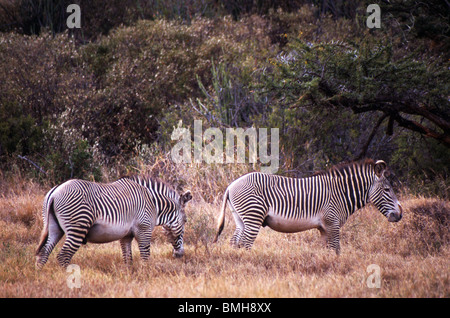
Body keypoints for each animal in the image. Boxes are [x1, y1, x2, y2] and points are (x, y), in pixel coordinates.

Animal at [36, 175, 192, 270]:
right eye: (185, 221)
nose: (179, 255)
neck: (153, 204)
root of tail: (55, 192)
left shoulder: (126, 235)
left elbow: (128, 258)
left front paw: (130, 276)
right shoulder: (144, 229)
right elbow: (145, 255)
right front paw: (146, 273)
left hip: (54, 228)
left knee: (44, 253)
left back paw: (40, 275)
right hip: (77, 227)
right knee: (63, 255)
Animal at [213, 159, 402, 253]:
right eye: (387, 189)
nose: (399, 215)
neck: (341, 193)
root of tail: (231, 185)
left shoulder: (324, 228)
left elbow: (327, 250)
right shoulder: (332, 223)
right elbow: (336, 249)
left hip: (240, 218)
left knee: (235, 242)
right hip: (253, 216)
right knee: (245, 243)